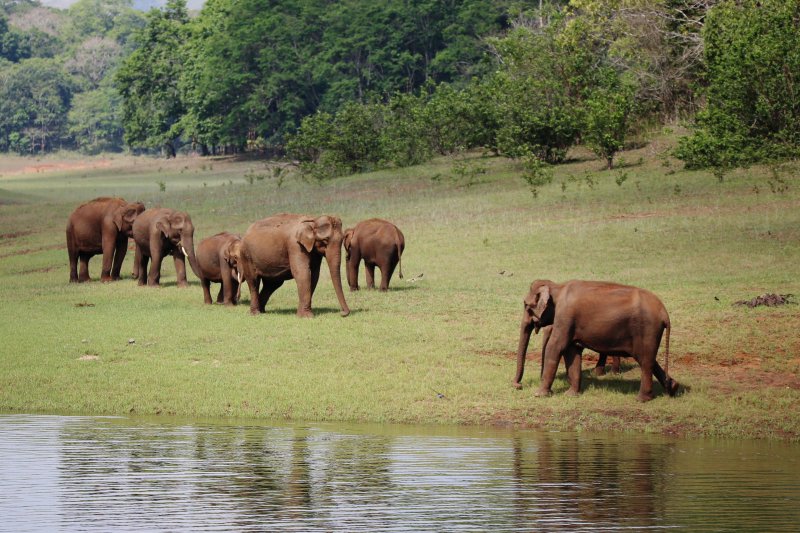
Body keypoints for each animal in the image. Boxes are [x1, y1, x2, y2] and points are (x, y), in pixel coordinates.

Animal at [516, 280, 680, 402]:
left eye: (526, 305)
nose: (518, 386)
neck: (557, 287)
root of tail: (665, 314)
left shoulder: (565, 317)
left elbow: (555, 347)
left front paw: (539, 394)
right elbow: (572, 351)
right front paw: (571, 395)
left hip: (647, 330)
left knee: (645, 362)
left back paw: (641, 399)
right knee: (649, 360)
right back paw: (672, 388)